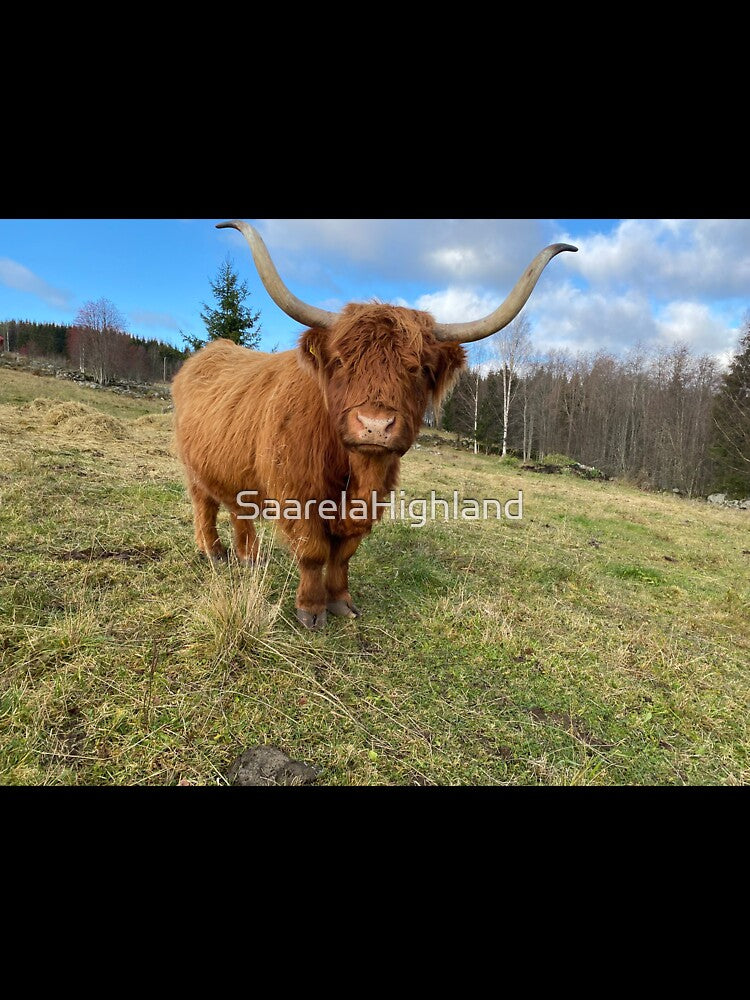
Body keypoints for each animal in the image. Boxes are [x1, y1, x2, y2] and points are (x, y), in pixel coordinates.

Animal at [172, 221, 576, 629]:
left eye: (419, 369)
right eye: (340, 362)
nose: (375, 425)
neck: (353, 472)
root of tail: (209, 352)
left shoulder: (372, 499)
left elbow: (343, 554)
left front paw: (341, 602)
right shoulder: (296, 495)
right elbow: (314, 552)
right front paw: (311, 611)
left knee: (237, 509)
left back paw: (250, 558)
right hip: (193, 467)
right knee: (204, 505)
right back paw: (213, 552)